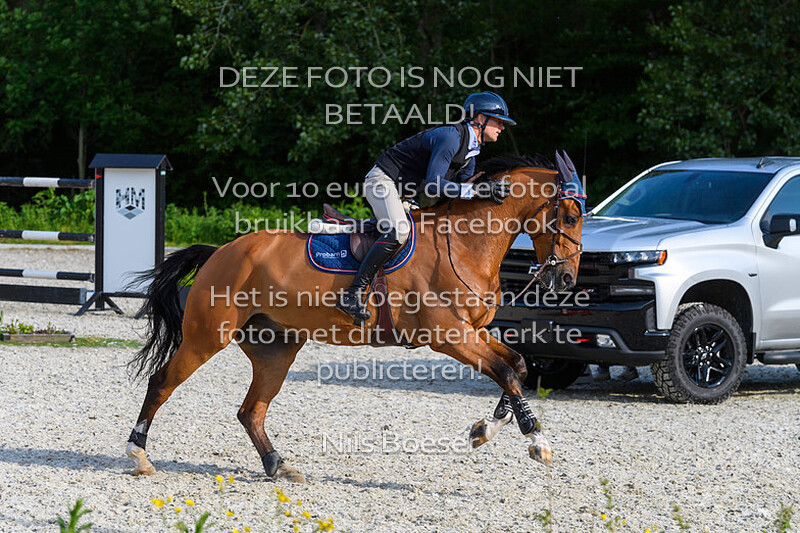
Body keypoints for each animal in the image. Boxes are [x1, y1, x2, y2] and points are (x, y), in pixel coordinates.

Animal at [125, 154, 585, 483]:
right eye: (571, 216)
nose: (566, 278)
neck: (465, 244)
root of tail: (221, 251)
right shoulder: (448, 336)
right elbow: (505, 372)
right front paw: (536, 440)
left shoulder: (473, 331)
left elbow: (517, 366)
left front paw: (486, 428)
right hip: (206, 337)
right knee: (161, 384)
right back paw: (139, 455)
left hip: (277, 349)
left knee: (251, 410)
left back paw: (278, 465)